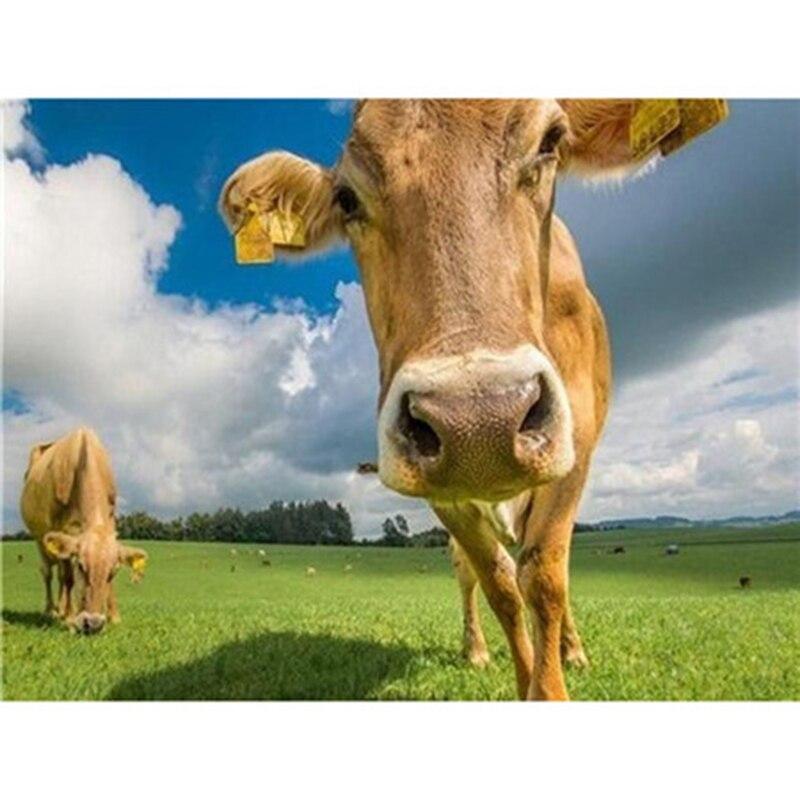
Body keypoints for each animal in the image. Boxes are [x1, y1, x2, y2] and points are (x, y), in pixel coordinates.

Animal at [19, 427, 147, 633]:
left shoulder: (110, 521)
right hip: (39, 538)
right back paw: (52, 610)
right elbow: (68, 578)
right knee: (49, 573)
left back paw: (61, 609)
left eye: (113, 571)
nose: (93, 623)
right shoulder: (61, 531)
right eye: (80, 565)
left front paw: (114, 617)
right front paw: (70, 618)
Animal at [220, 100, 718, 700]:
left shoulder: (575, 444)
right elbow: (500, 583)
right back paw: (477, 648)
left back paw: (573, 648)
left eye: (550, 142)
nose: (479, 420)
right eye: (346, 197)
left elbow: (544, 576)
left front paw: (553, 678)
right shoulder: (443, 492)